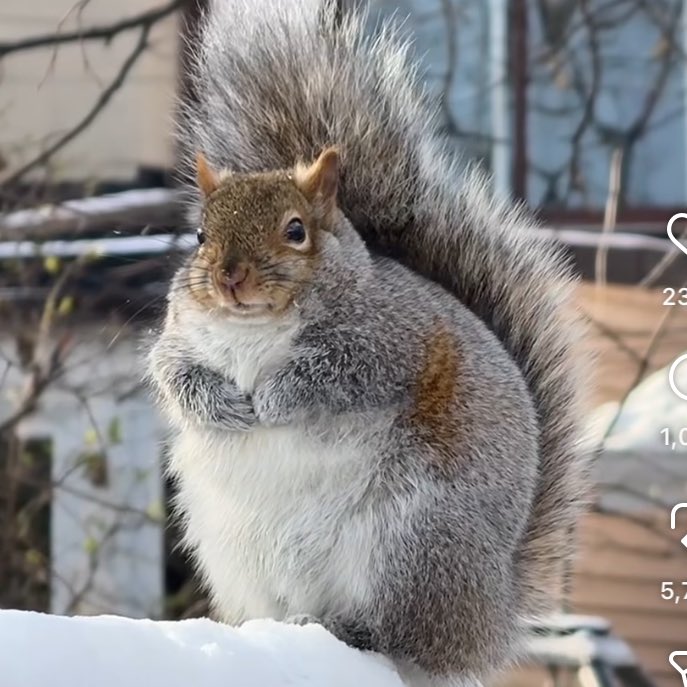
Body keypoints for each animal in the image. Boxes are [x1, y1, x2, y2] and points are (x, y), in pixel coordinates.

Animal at [147, 1, 590, 686]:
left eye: (296, 231)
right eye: (198, 235)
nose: (229, 276)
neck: (252, 329)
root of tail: (489, 619)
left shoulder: (393, 342)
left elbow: (338, 375)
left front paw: (272, 399)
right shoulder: (179, 339)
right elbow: (174, 375)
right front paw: (223, 404)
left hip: (416, 542)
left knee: (401, 636)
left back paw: (352, 628)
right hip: (243, 557)